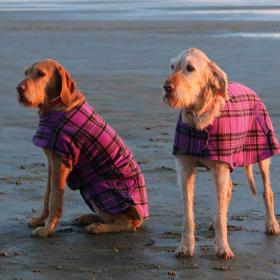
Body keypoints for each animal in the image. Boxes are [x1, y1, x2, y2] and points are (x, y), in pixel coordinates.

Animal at [16, 60, 149, 237]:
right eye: (26, 73)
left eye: (41, 74)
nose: (19, 89)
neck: (56, 107)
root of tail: (143, 217)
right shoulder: (52, 162)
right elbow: (47, 194)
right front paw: (40, 219)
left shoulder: (61, 163)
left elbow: (54, 199)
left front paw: (47, 229)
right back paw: (88, 218)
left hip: (102, 188)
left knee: (128, 224)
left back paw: (99, 227)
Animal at [163, 47, 278, 258]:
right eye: (172, 66)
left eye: (190, 68)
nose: (167, 87)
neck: (200, 118)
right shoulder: (185, 167)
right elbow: (188, 212)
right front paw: (185, 246)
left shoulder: (220, 167)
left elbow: (221, 208)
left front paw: (223, 247)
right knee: (228, 191)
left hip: (263, 147)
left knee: (267, 190)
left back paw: (272, 223)